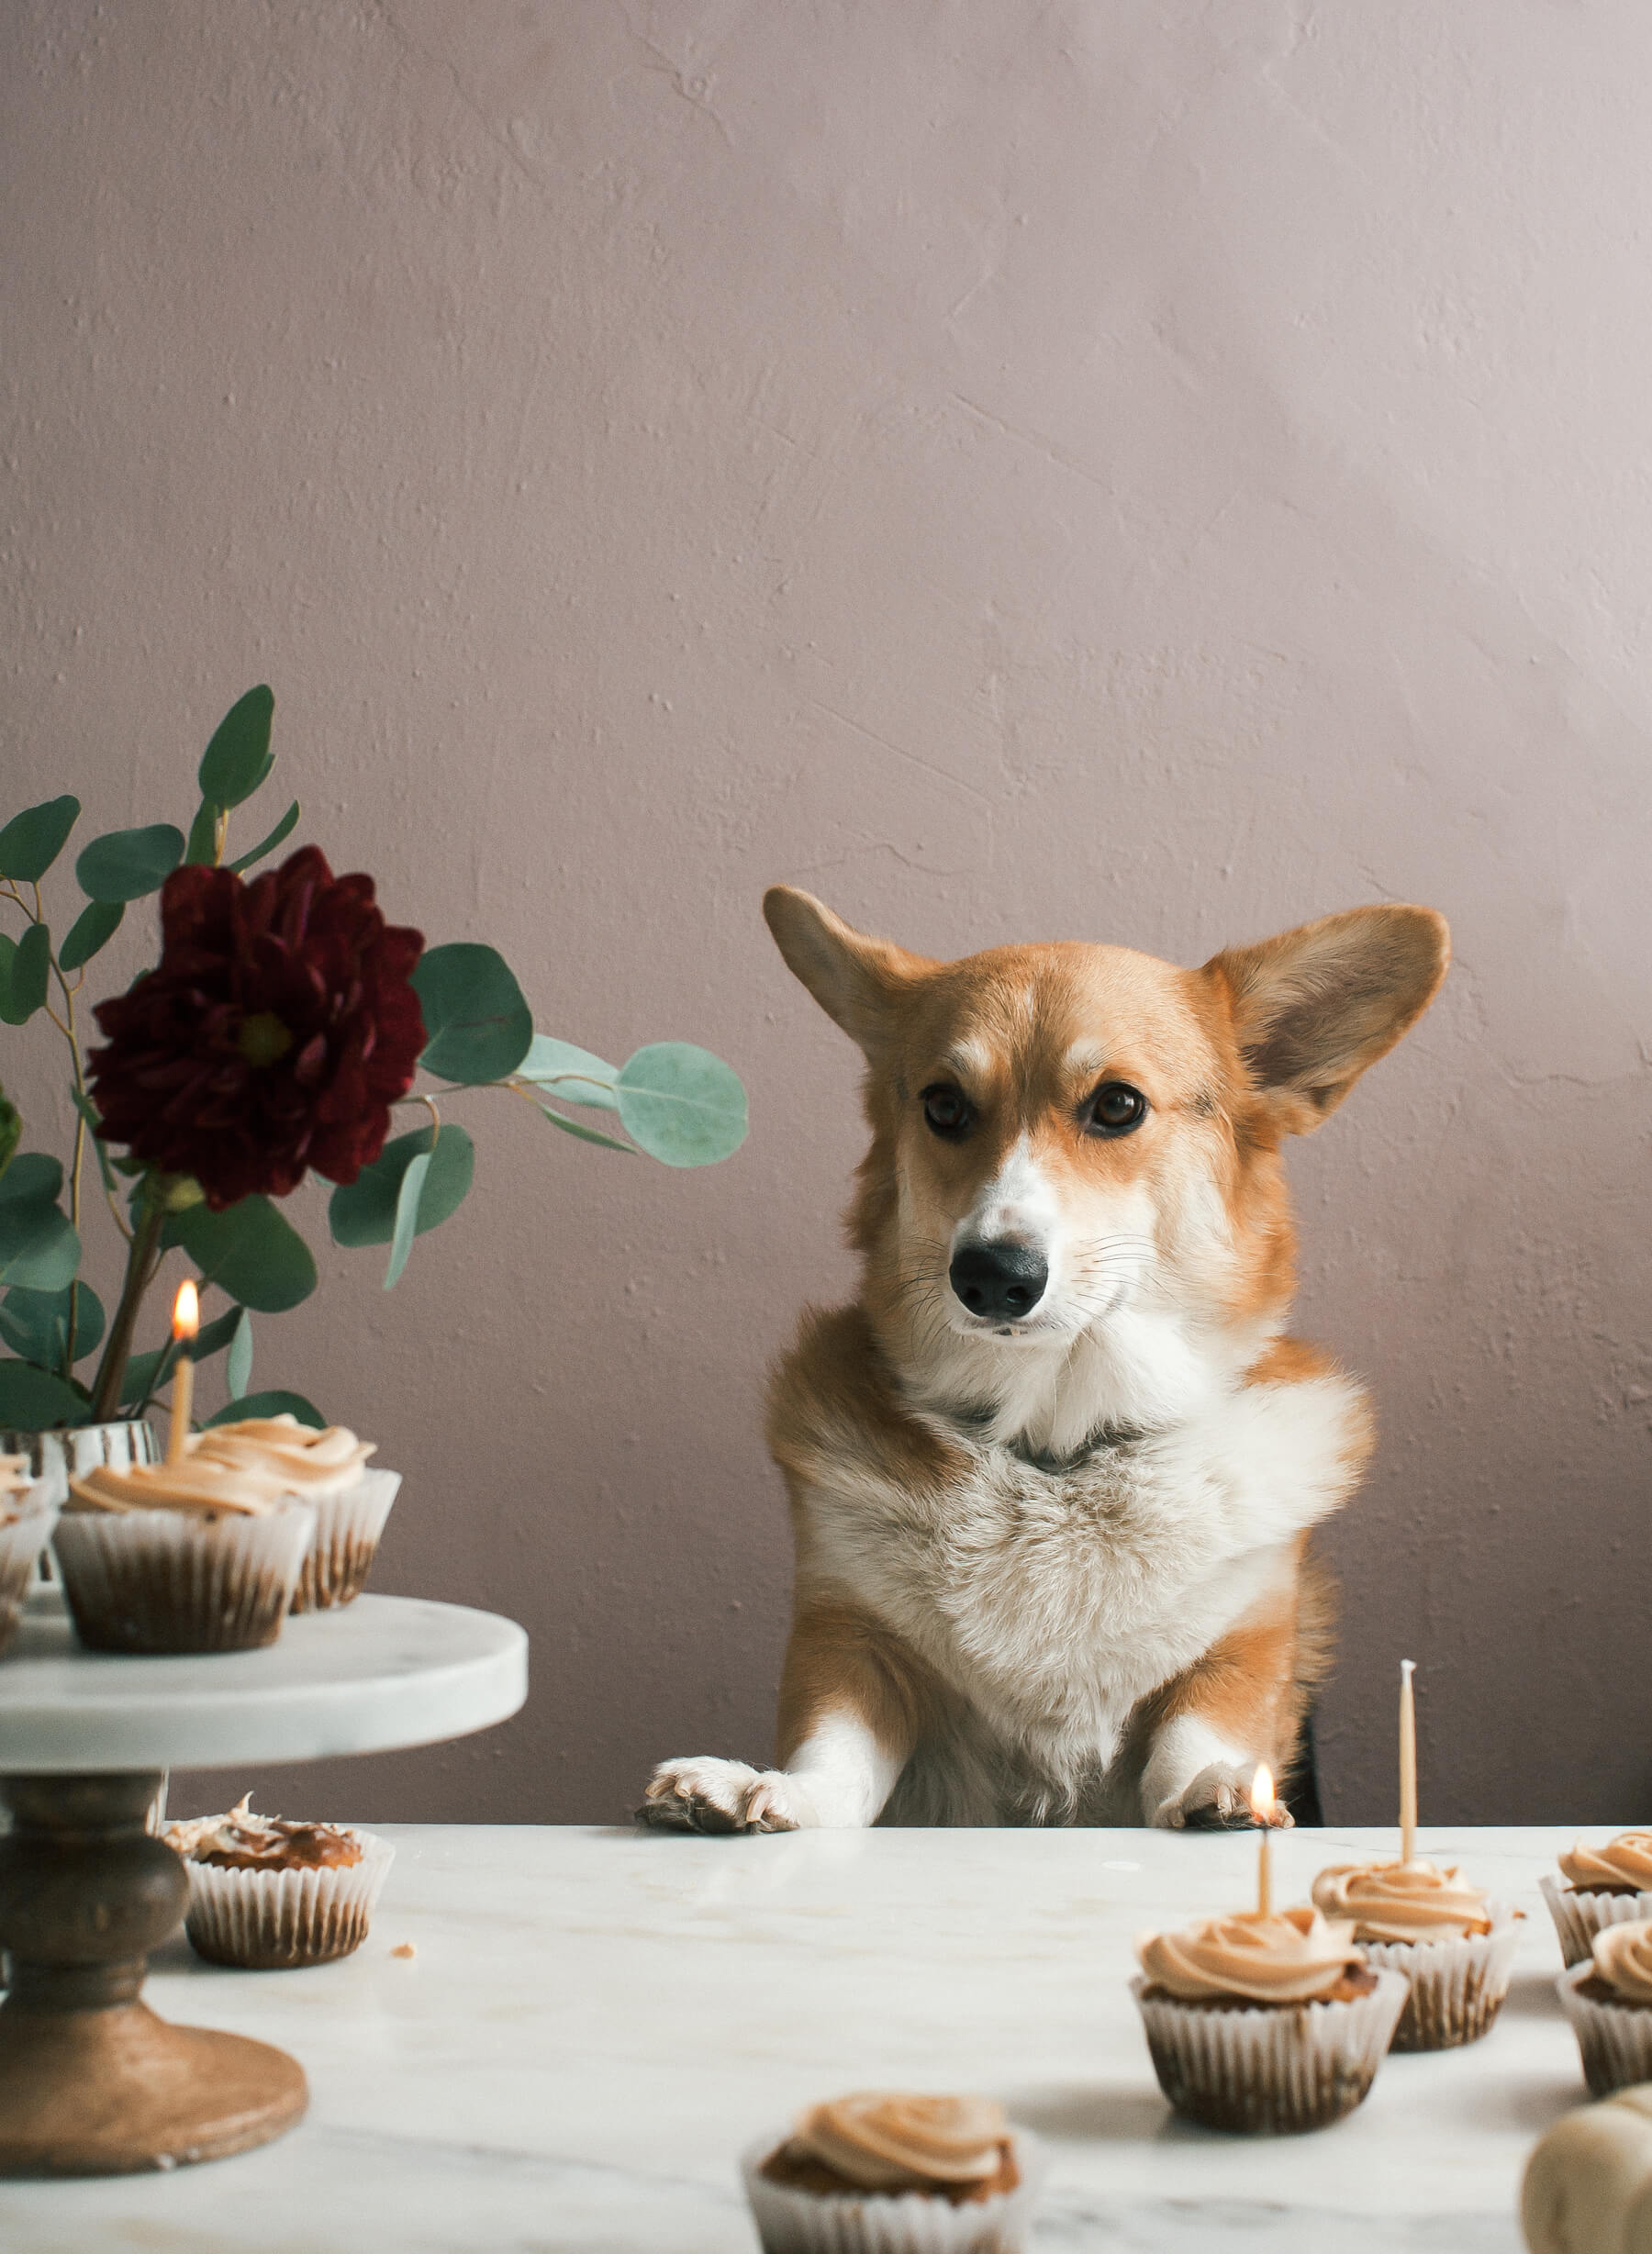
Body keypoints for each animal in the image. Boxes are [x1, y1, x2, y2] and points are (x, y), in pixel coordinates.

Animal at [640, 887, 1433, 1839]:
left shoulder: (1249, 1642)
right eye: (944, 1106)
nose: (990, 1274)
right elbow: (833, 1751)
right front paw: (770, 1792)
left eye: (1118, 1106)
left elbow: (1199, 1729)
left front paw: (1215, 1791)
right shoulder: (850, 1638)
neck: (1055, 1448)